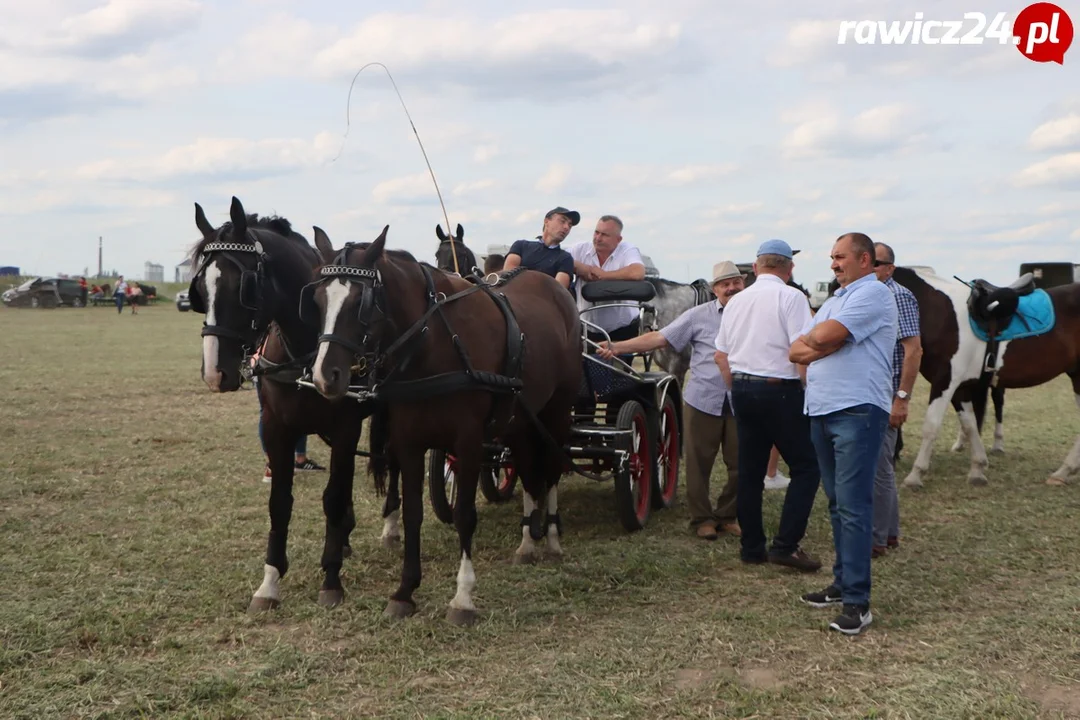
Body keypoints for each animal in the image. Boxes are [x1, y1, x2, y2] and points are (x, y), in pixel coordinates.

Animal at [190, 197, 397, 613]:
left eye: (243, 286)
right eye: (201, 287)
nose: (215, 373)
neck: (307, 352)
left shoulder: (347, 429)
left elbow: (332, 498)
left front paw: (331, 579)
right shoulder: (277, 428)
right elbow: (281, 502)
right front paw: (270, 582)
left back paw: (390, 526)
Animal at [304, 229, 583, 626]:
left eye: (361, 301)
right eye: (317, 298)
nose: (324, 376)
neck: (434, 342)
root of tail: (556, 290)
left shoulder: (467, 442)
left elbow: (465, 516)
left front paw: (463, 598)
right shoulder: (408, 442)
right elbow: (412, 514)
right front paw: (404, 591)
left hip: (557, 411)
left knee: (554, 469)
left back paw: (554, 538)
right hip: (519, 419)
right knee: (530, 471)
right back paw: (528, 541)